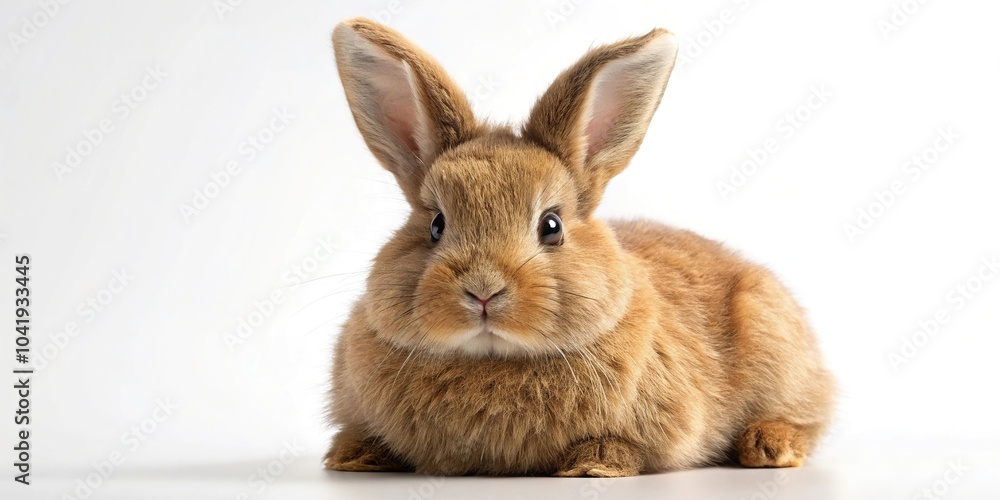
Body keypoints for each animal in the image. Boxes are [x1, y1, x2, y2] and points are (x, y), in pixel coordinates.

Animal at [323, 17, 835, 477]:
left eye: (551, 226)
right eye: (435, 224)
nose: (483, 290)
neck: (492, 359)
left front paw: (597, 464)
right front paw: (353, 456)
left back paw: (769, 446)